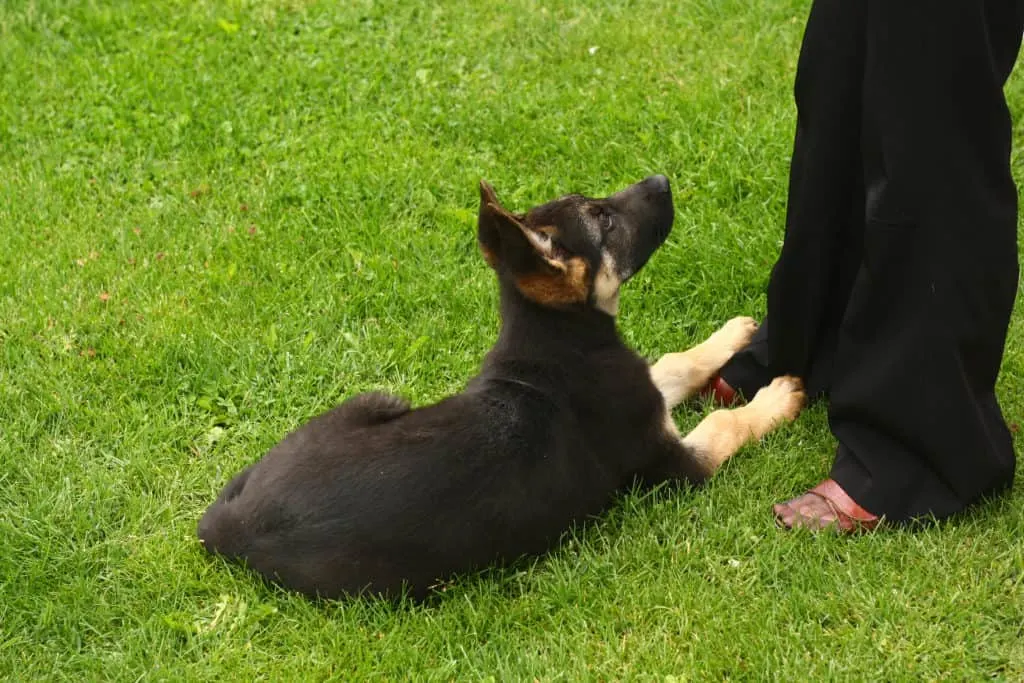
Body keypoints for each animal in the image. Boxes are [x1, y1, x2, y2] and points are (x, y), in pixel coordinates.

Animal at [195, 175, 802, 598]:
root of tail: (229, 529)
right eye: (603, 220)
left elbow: (674, 363)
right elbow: (724, 421)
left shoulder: (645, 391)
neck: (555, 337)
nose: (662, 180)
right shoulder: (673, 462)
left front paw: (732, 334)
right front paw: (777, 397)